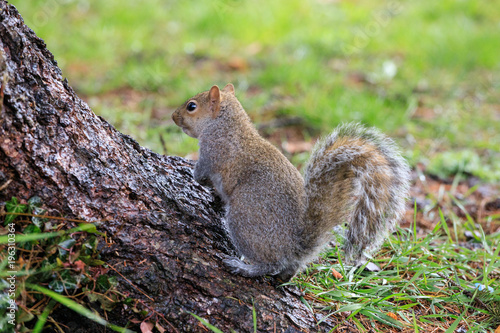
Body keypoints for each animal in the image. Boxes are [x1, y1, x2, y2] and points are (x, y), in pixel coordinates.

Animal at [172, 83, 410, 280]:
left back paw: (244, 267)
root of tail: (294, 245)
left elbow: (200, 175)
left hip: (244, 219)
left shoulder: (212, 152)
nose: (174, 116)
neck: (225, 124)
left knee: (269, 263)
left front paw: (188, 171)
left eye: (191, 106)